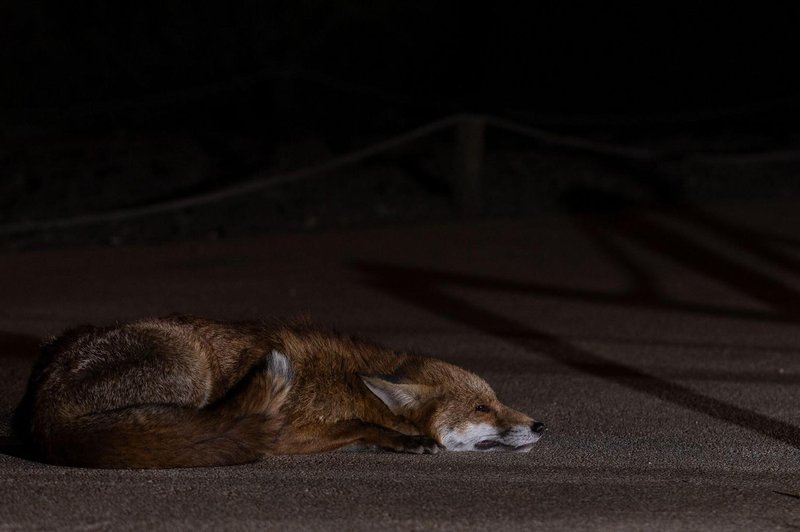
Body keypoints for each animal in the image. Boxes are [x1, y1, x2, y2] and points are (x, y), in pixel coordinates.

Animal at [12, 314, 548, 468]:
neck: (350, 382)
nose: (541, 425)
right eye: (481, 407)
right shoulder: (285, 427)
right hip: (192, 363)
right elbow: (358, 426)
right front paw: (405, 440)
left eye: (498, 400)